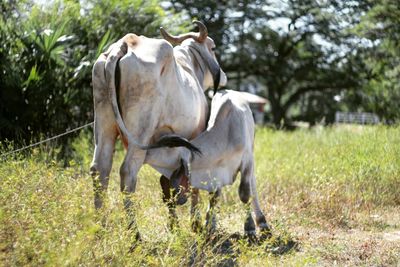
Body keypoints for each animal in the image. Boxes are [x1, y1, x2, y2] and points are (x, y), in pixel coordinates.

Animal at [91, 21, 228, 241]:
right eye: (213, 47)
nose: (223, 75)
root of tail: (124, 45)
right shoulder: (195, 137)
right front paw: (195, 223)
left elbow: (166, 184)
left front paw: (175, 226)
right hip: (140, 131)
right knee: (127, 171)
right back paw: (135, 234)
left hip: (104, 125)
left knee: (100, 169)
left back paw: (100, 228)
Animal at [145, 90, 274, 241]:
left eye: (166, 149)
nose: (146, 151)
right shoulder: (215, 173)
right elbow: (214, 196)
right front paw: (209, 225)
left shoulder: (247, 161)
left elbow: (245, 194)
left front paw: (250, 229)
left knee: (252, 187)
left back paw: (263, 224)